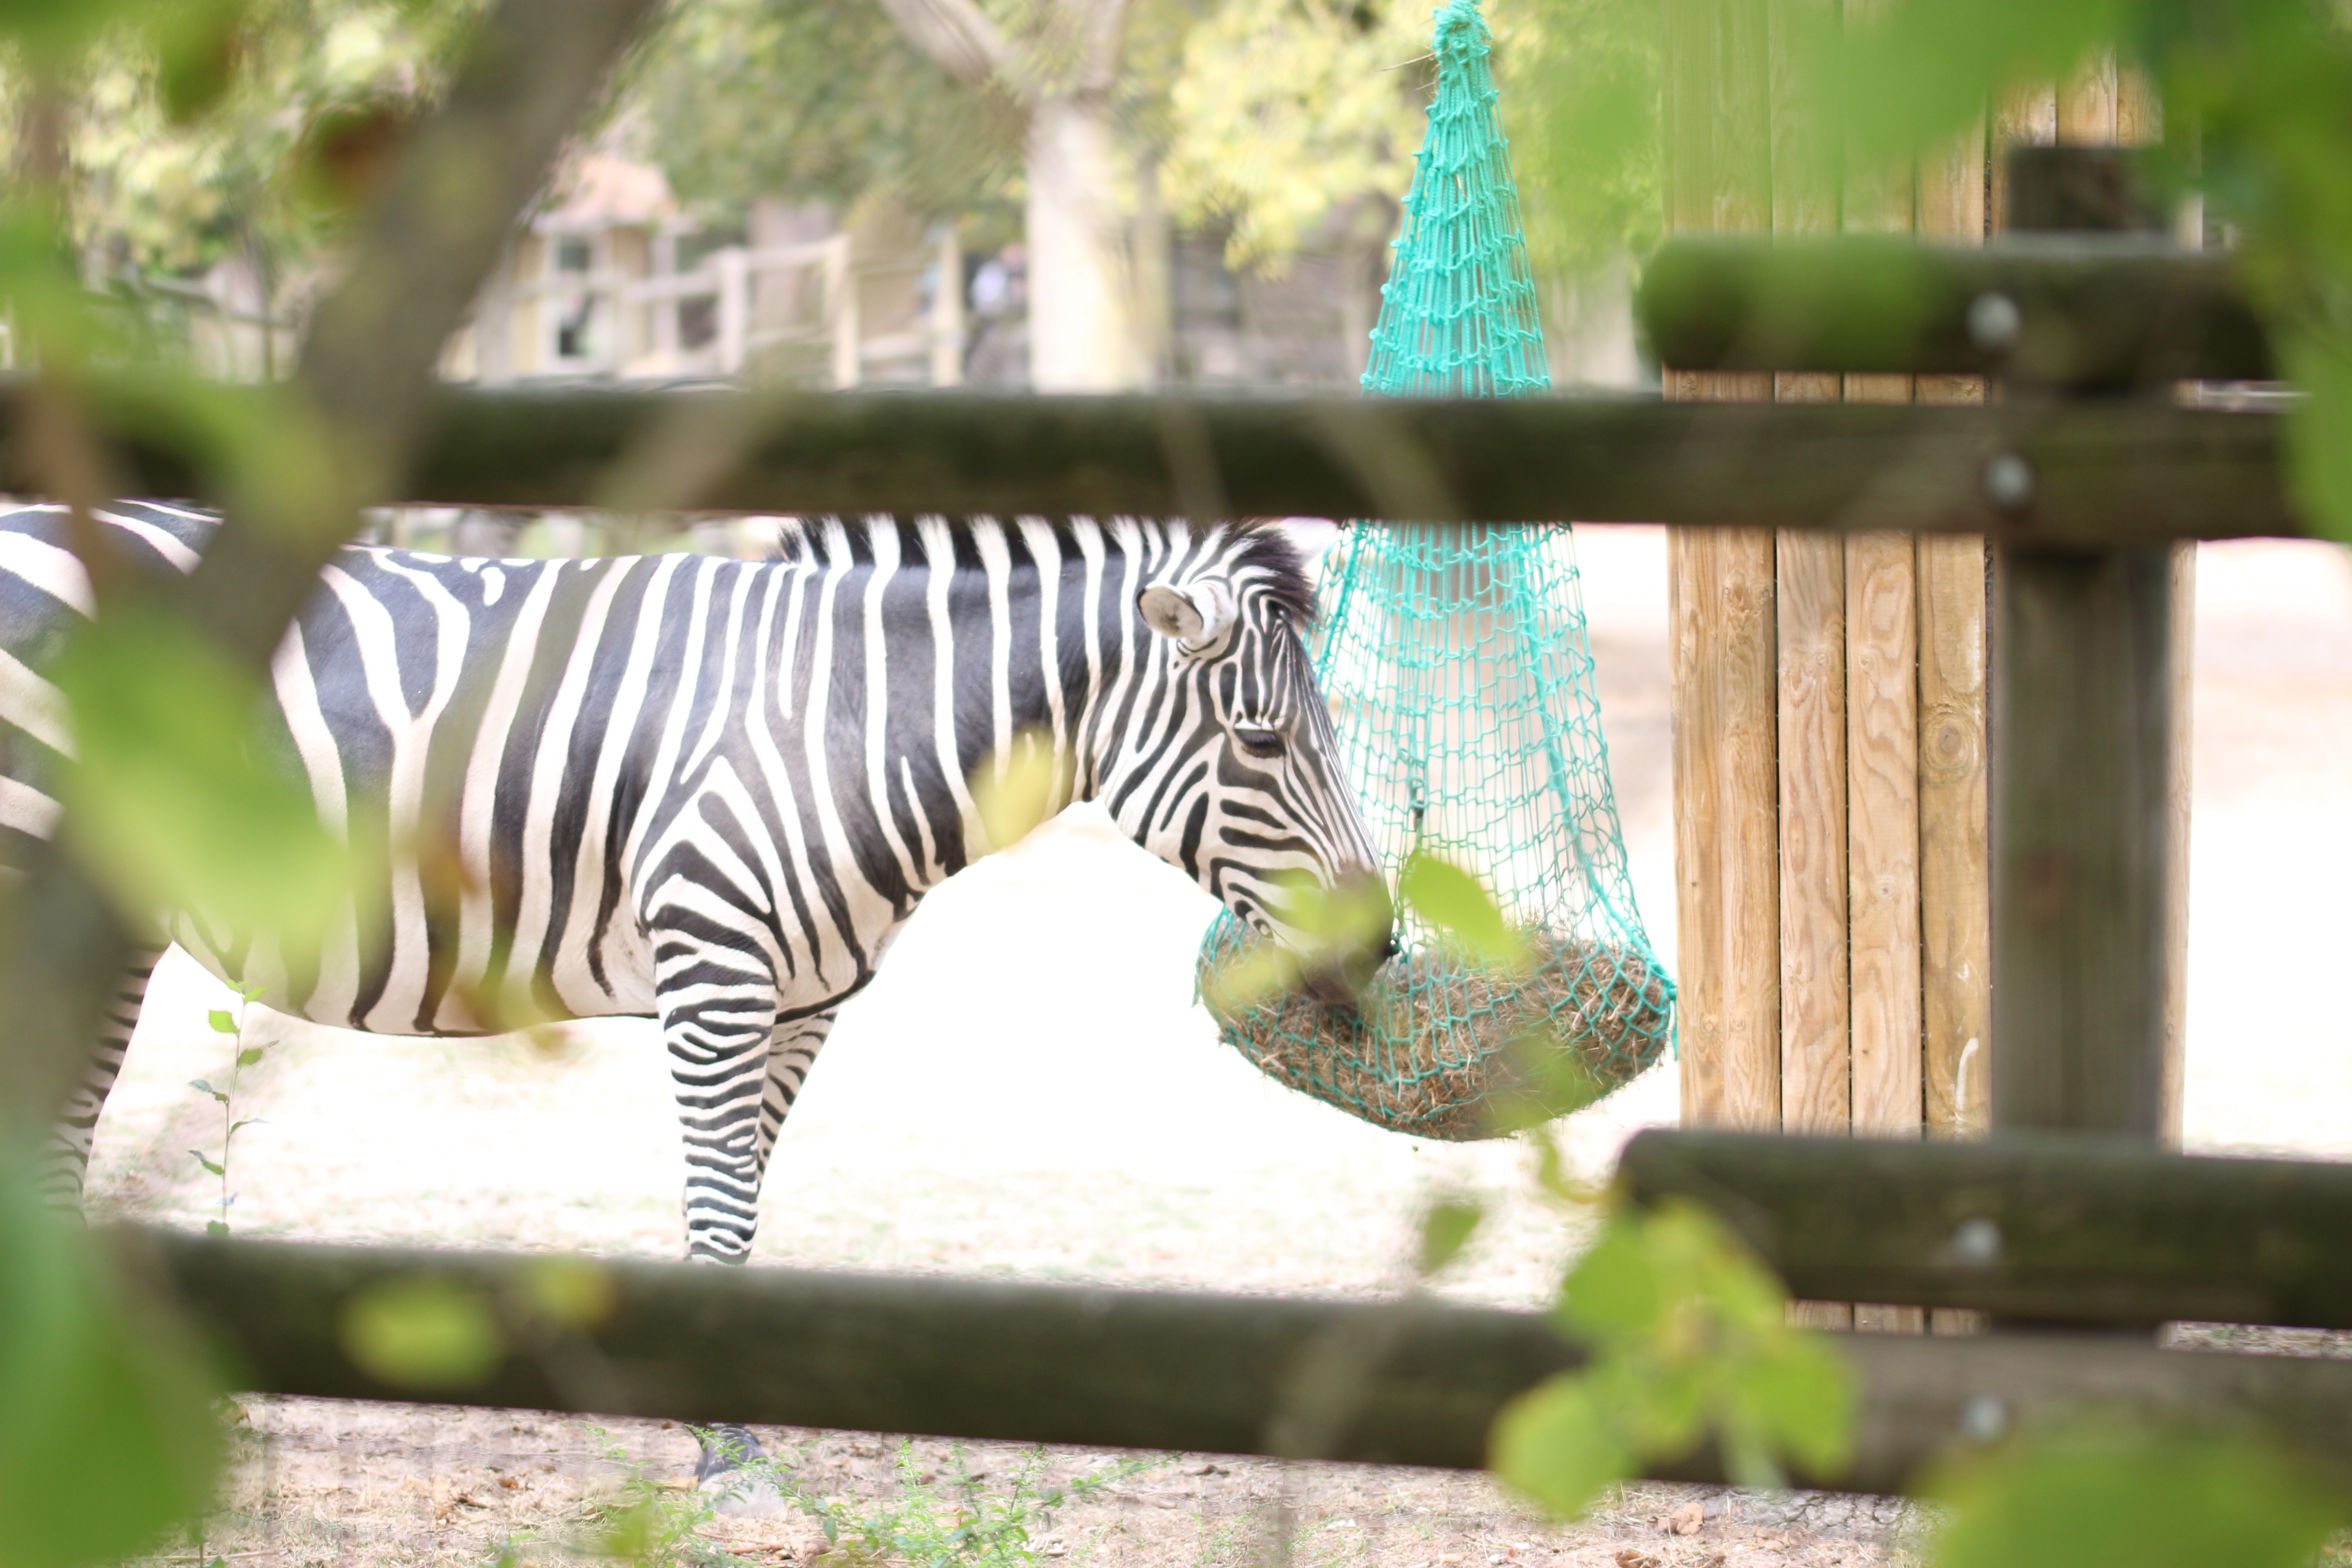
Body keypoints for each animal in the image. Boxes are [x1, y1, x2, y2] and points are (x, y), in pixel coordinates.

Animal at [1, 500, 1392, 1485]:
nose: (1379, 944)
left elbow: (743, 1217)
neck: (845, 722)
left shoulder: (800, 1005)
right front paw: (728, 1458)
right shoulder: (715, 968)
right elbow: (720, 1212)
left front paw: (728, 1425)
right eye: (1264, 742)